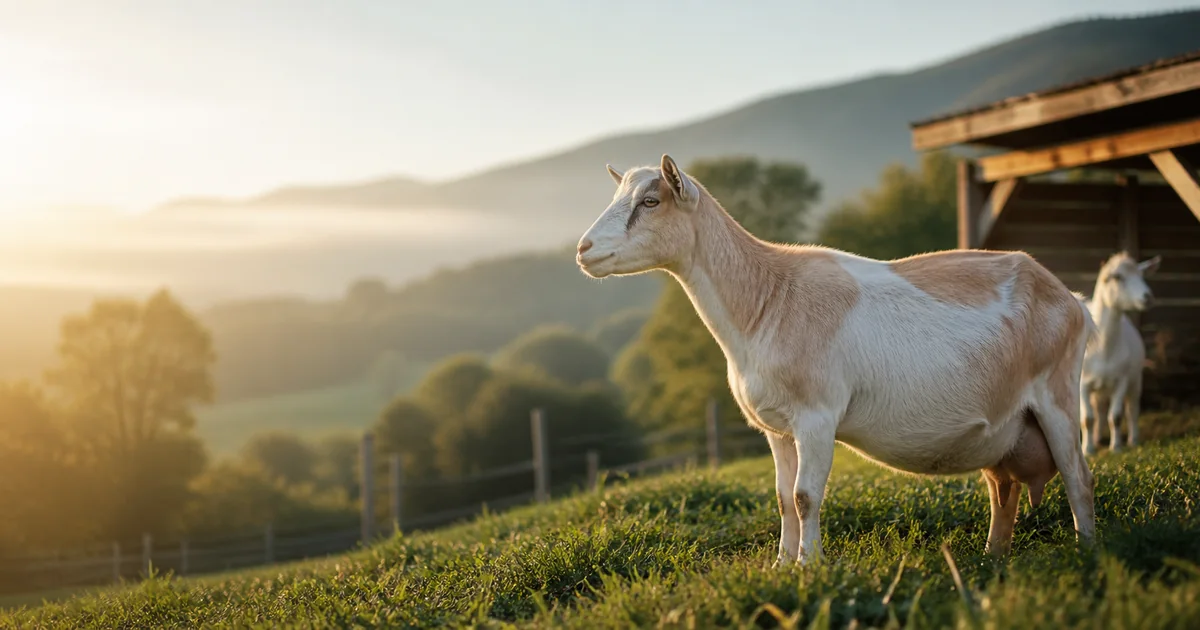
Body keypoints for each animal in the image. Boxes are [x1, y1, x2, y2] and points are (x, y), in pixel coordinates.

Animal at [576, 155, 1097, 562]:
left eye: (651, 201)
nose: (583, 249)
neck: (767, 299)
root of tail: (1071, 299)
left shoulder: (817, 415)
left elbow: (806, 497)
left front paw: (811, 567)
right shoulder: (777, 428)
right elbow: (783, 500)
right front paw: (781, 566)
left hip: (1057, 395)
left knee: (1078, 476)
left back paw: (1087, 550)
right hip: (1004, 429)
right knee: (1003, 490)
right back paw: (993, 557)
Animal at [1080, 252, 1159, 455]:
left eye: (1141, 274)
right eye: (1117, 277)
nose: (1148, 297)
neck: (1103, 349)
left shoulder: (1121, 380)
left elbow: (1115, 416)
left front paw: (1116, 447)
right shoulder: (1082, 385)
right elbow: (1087, 418)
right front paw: (1088, 450)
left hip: (1136, 378)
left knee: (1132, 410)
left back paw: (1133, 440)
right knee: (1098, 410)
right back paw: (1096, 439)